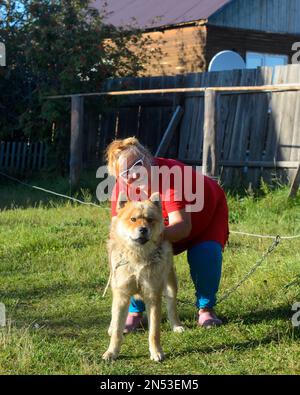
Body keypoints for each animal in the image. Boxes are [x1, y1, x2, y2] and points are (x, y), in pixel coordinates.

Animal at [102, 193, 183, 364]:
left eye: (150, 219)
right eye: (133, 219)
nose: (143, 229)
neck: (137, 256)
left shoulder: (153, 296)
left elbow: (154, 332)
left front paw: (156, 352)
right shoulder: (122, 295)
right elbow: (117, 331)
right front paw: (111, 352)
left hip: (171, 284)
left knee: (172, 306)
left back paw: (176, 325)